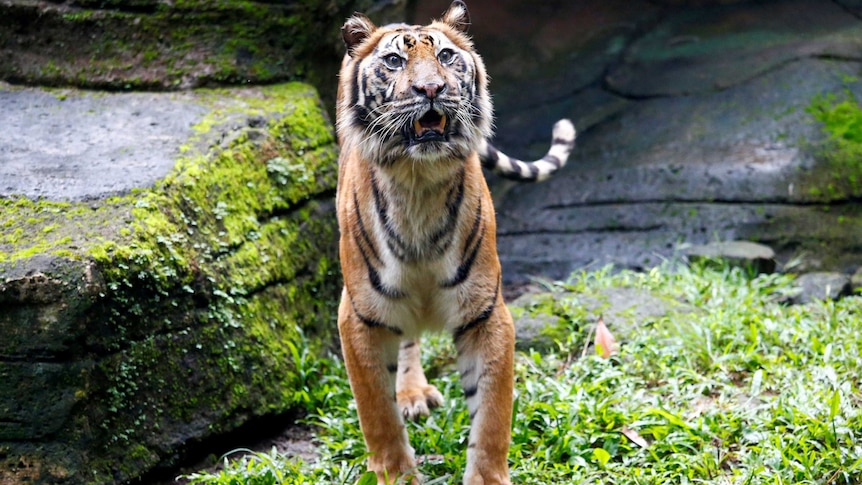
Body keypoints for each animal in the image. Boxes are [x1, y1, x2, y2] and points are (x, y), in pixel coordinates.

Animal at [334, 1, 576, 482]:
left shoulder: (485, 312)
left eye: (445, 56)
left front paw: (487, 476)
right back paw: (410, 394)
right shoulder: (358, 316)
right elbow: (378, 417)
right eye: (395, 61)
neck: (418, 185)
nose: (431, 88)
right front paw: (398, 475)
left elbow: (492, 415)